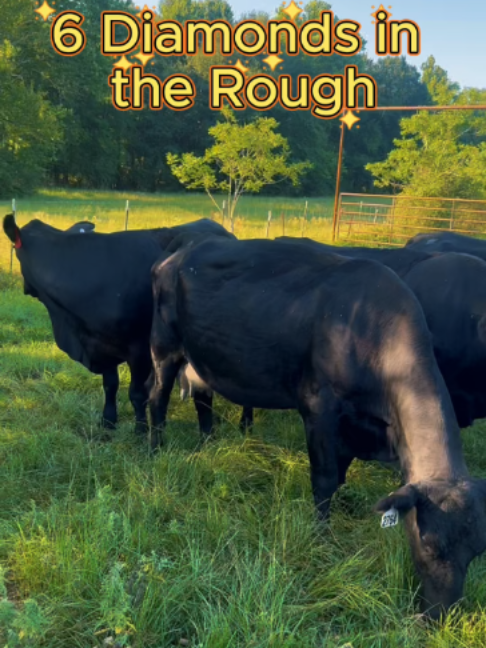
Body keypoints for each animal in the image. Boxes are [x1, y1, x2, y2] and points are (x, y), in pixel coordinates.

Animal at [3, 213, 233, 433]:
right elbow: (110, 385)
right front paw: (108, 422)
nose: (25, 287)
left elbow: (137, 393)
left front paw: (140, 430)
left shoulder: (139, 349)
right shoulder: (102, 345)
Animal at [148, 236, 486, 619]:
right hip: (163, 347)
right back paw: (155, 449)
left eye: (477, 552)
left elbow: (338, 478)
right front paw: (321, 537)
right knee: (156, 399)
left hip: (202, 360)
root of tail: (177, 255)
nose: (441, 615)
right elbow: (323, 480)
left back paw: (208, 447)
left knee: (203, 400)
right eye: (428, 545)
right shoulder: (319, 409)